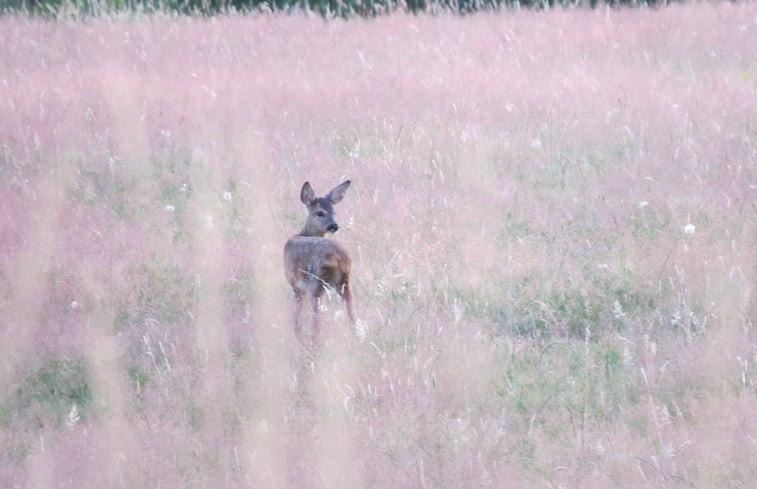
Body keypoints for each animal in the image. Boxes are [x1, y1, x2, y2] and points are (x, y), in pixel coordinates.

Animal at [284, 179, 354, 344]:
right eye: (320, 212)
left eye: (334, 212)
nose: (334, 226)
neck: (303, 233)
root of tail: (339, 257)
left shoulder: (295, 283)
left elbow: (297, 314)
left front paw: (297, 334)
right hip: (345, 283)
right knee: (351, 312)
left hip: (317, 283)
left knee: (317, 317)